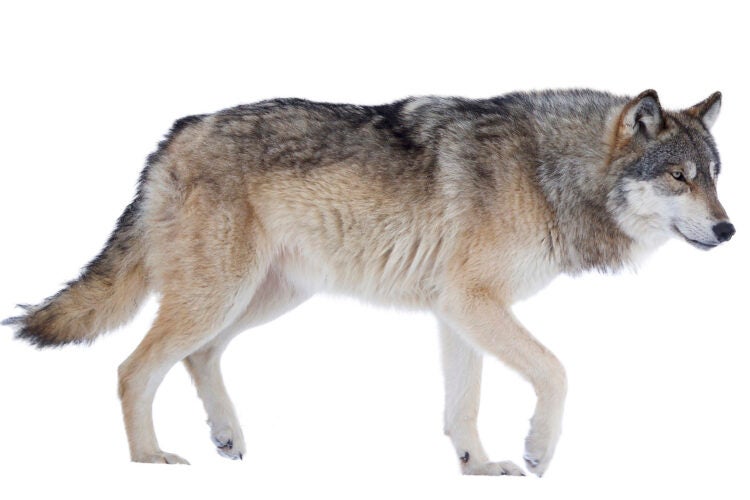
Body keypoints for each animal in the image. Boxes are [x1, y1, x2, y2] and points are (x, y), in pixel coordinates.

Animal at [4, 89, 734, 476]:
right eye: (678, 176)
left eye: (715, 175)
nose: (729, 230)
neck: (549, 171)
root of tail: (174, 134)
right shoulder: (473, 303)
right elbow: (556, 371)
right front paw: (535, 451)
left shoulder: (457, 311)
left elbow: (462, 406)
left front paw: (478, 467)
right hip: (221, 294)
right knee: (133, 369)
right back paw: (149, 463)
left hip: (264, 296)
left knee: (198, 356)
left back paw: (226, 438)